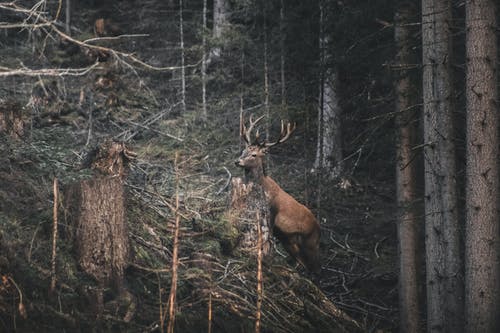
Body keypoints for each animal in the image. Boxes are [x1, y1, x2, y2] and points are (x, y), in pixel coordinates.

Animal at [234, 115, 320, 274]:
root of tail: (320, 229)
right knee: (303, 263)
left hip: (311, 243)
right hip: (290, 242)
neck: (262, 187)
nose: (237, 161)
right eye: (243, 150)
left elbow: (268, 237)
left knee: (316, 267)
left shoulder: (272, 211)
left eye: (254, 154)